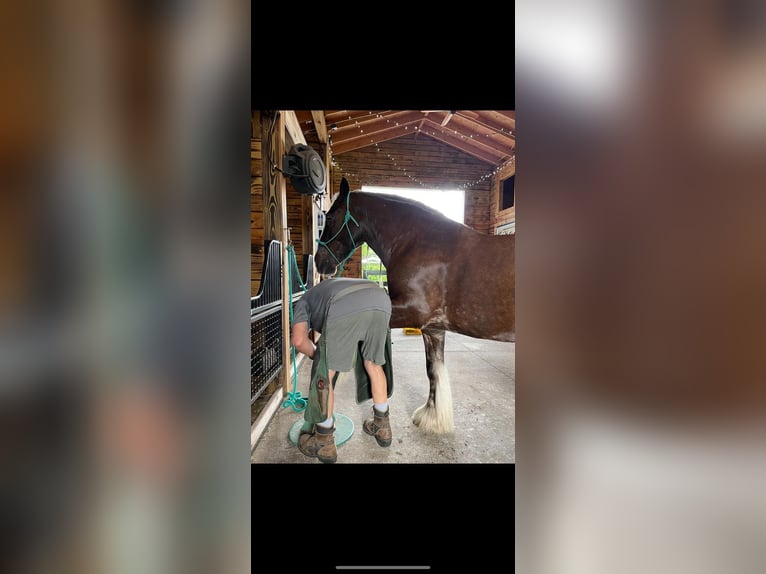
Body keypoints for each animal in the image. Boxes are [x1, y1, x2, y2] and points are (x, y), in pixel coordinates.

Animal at [312, 178, 516, 434]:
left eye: (329, 217)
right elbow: (432, 371)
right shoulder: (433, 329)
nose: (319, 262)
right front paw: (431, 418)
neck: (418, 242)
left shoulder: (411, 312)